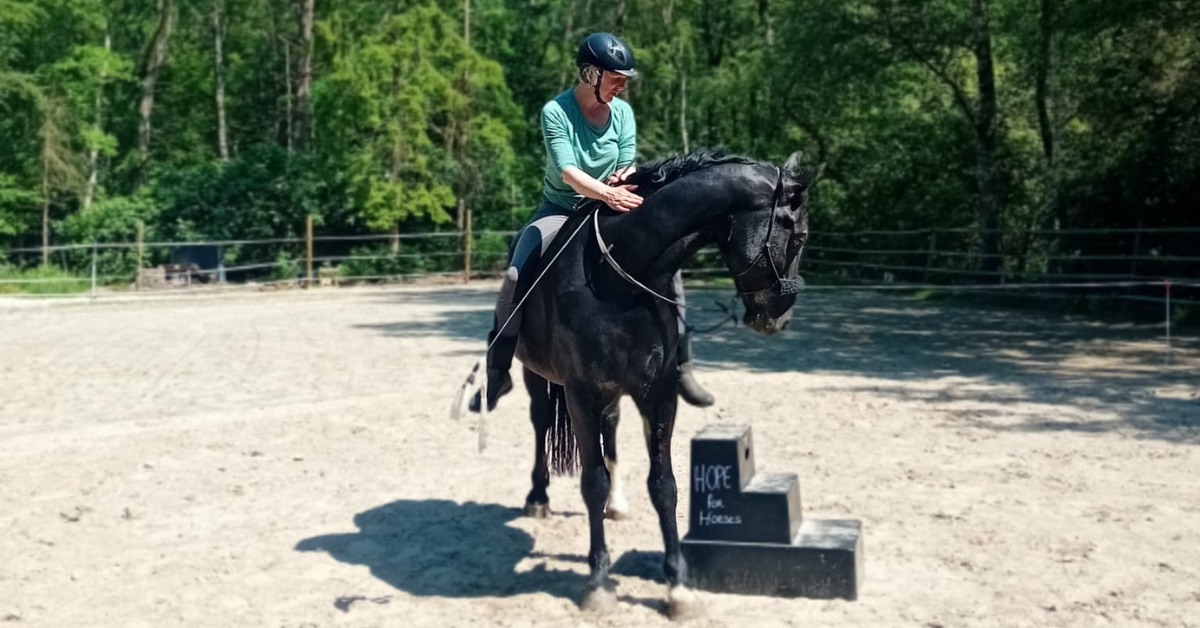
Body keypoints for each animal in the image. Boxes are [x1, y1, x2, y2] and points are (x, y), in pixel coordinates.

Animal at [462, 150, 815, 619]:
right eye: (797, 238)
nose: (779, 318)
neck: (622, 277)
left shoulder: (658, 394)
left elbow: (664, 485)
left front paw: (678, 587)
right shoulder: (579, 392)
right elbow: (592, 481)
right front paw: (598, 582)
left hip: (612, 391)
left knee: (610, 427)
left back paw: (618, 503)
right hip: (537, 376)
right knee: (539, 422)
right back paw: (538, 496)